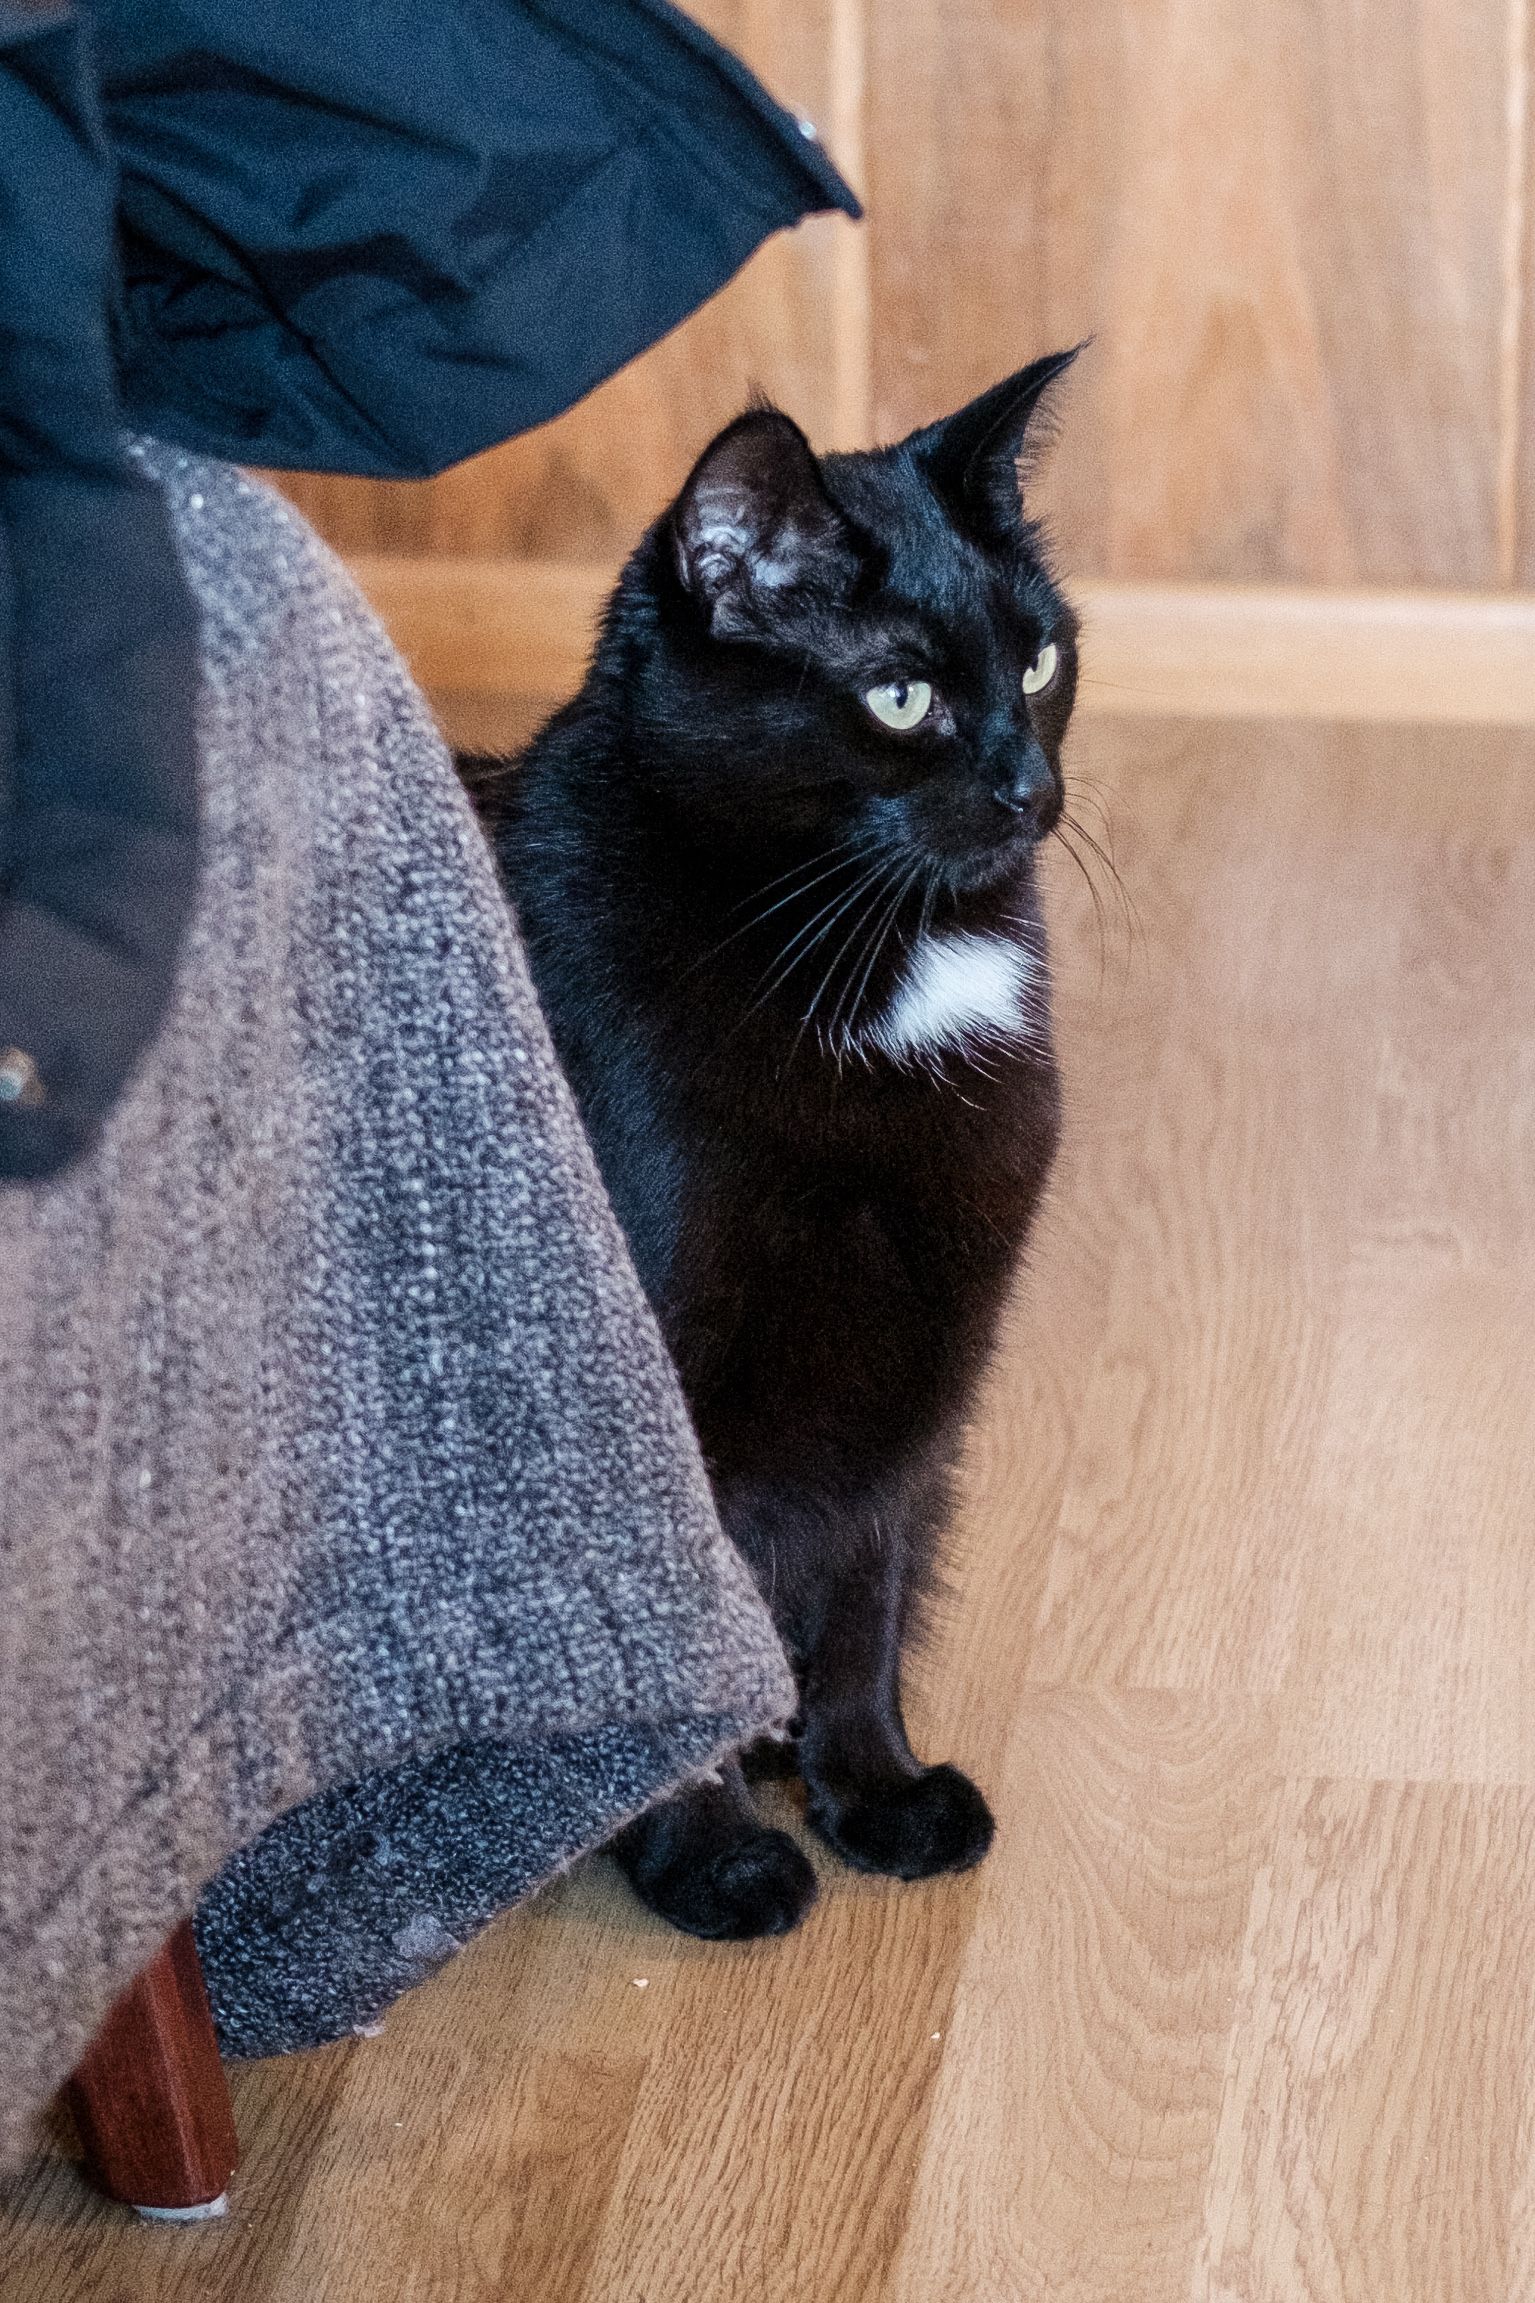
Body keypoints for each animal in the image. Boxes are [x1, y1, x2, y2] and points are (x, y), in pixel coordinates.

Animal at [464, 354, 1081, 1943]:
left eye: (1038, 665)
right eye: (900, 694)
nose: (1027, 790)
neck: (863, 953)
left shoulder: (914, 1362)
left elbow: (862, 1589)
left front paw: (871, 1788)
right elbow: (678, 1661)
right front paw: (710, 1860)